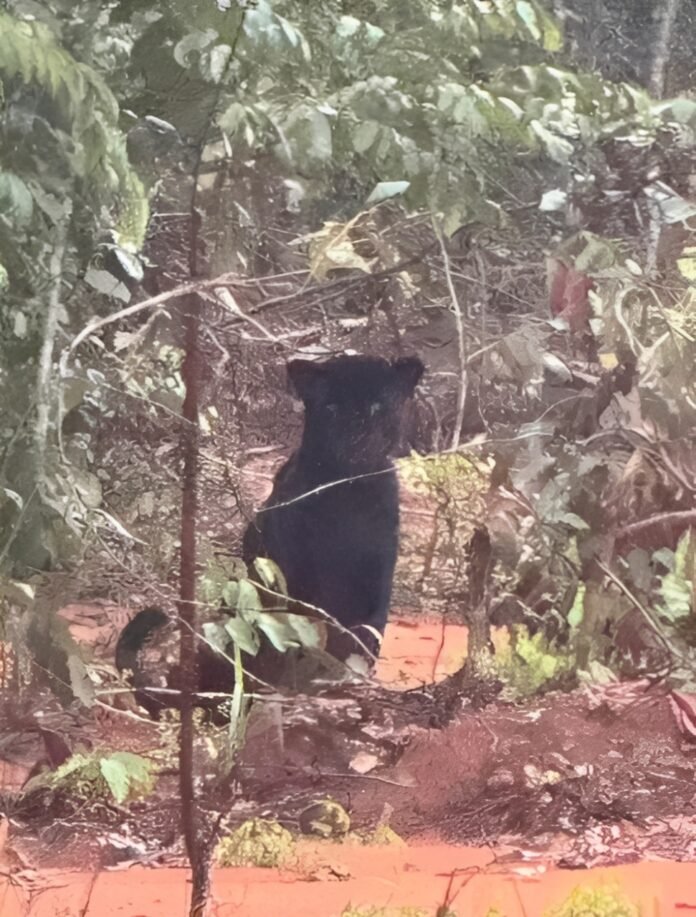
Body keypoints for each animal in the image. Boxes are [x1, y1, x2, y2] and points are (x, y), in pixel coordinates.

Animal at [243, 354, 424, 662]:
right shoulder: (295, 563)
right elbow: (306, 618)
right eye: (332, 407)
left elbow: (370, 628)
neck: (346, 497)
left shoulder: (380, 566)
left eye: (376, 406)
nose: (355, 437)